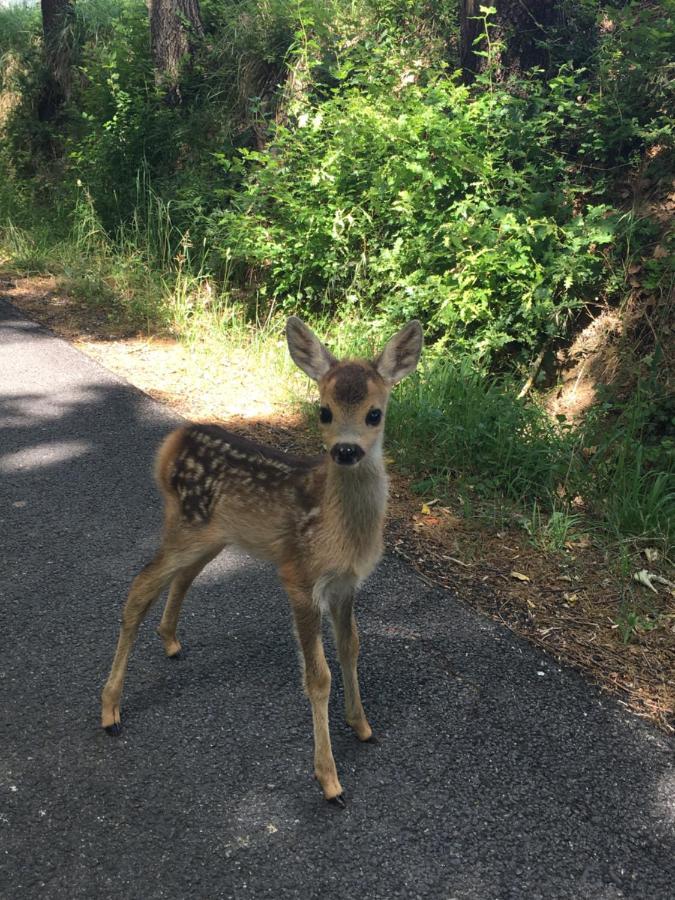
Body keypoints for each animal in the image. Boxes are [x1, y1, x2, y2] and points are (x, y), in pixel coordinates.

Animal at [101, 314, 422, 800]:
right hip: (186, 525)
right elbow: (318, 676)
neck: (338, 529)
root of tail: (171, 444)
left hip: (213, 535)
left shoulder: (347, 583)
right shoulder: (299, 575)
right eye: (323, 411)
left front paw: (363, 726)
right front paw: (329, 780)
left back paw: (171, 642)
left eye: (375, 413)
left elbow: (351, 648)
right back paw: (110, 711)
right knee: (140, 587)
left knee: (183, 577)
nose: (346, 450)